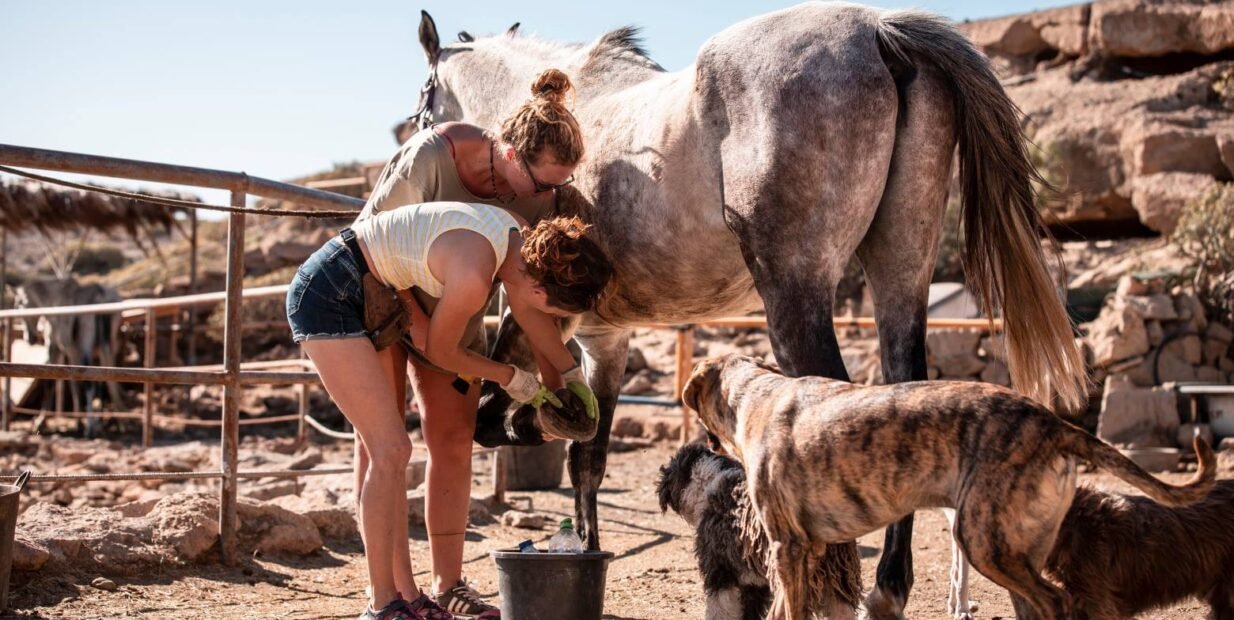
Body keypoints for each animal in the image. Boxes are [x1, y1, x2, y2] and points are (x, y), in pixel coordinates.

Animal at [408, 3, 1087, 616]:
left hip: (795, 291)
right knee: (904, 391)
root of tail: (880, 30)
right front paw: (585, 548)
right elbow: (589, 457)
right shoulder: (608, 341)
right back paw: (886, 590)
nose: (417, 138)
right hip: (900, 267)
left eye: (424, 97)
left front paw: (527, 431)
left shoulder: (555, 320)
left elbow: (528, 421)